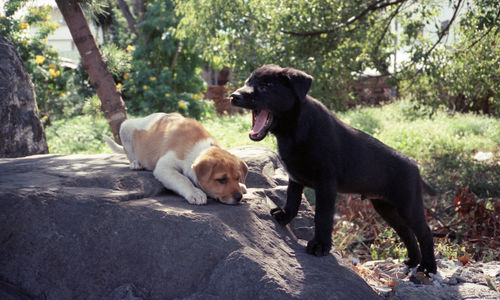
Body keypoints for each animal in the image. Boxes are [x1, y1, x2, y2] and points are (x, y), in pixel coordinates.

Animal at [103, 113, 248, 206]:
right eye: (221, 180)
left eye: (237, 178)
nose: (239, 197)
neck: (197, 147)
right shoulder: (164, 167)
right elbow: (182, 179)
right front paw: (195, 193)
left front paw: (241, 186)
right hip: (125, 127)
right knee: (130, 156)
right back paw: (136, 164)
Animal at [231, 65, 438, 274]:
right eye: (248, 81)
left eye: (267, 85)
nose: (234, 96)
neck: (293, 130)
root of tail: (415, 166)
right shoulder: (295, 178)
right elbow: (292, 200)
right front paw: (283, 217)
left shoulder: (326, 184)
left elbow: (322, 217)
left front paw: (320, 246)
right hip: (385, 207)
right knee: (407, 233)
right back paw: (412, 261)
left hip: (408, 205)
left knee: (425, 233)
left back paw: (428, 267)